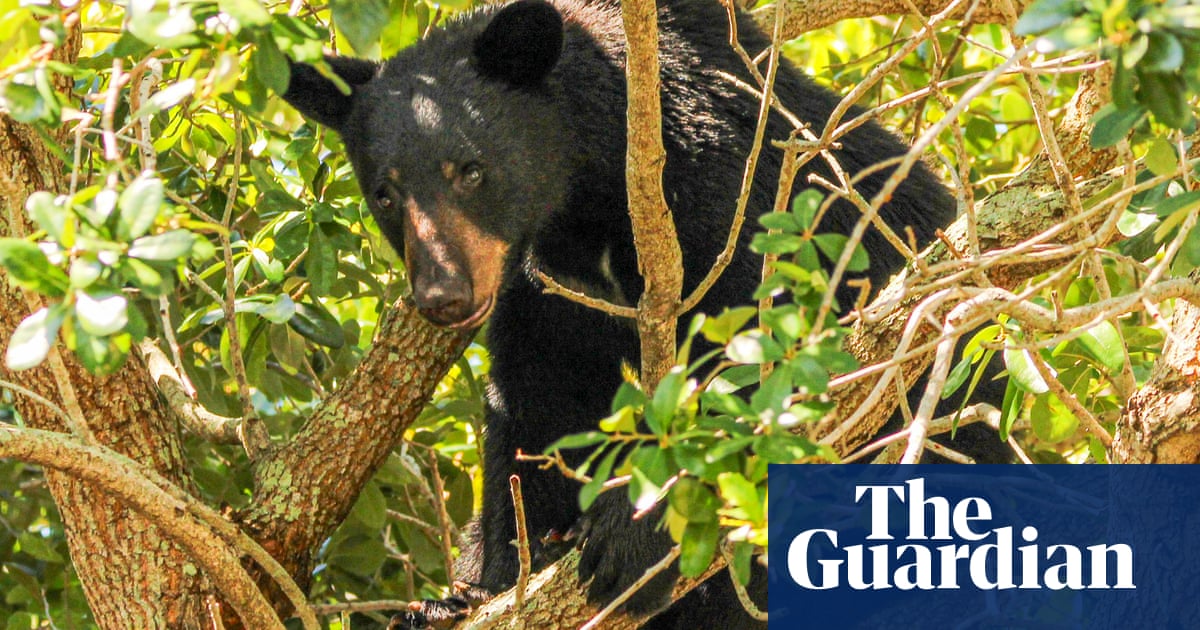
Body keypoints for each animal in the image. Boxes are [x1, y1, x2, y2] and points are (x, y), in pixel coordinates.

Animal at [281, 0, 972, 627]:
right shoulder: (544, 286)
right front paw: (488, 582)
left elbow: (768, 353)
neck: (591, 197)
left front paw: (631, 537)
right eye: (385, 193)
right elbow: (540, 406)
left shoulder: (738, 202)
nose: (442, 294)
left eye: (471, 170)